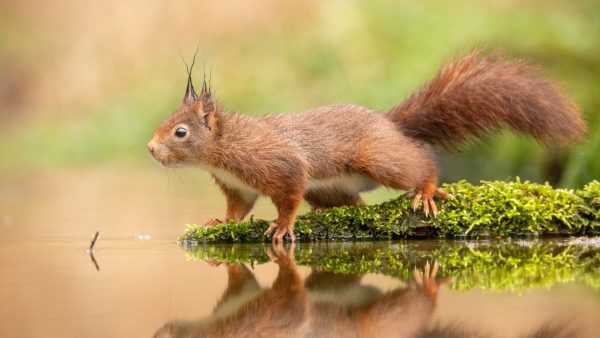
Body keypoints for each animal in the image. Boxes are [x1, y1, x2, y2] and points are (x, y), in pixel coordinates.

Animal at [146, 50, 584, 242]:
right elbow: (238, 209)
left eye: (180, 132)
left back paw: (426, 189)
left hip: (376, 157)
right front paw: (219, 222)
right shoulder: (238, 186)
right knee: (350, 202)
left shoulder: (277, 163)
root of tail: (389, 124)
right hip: (331, 190)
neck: (223, 150)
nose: (150, 148)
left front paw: (282, 226)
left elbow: (288, 194)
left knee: (418, 162)